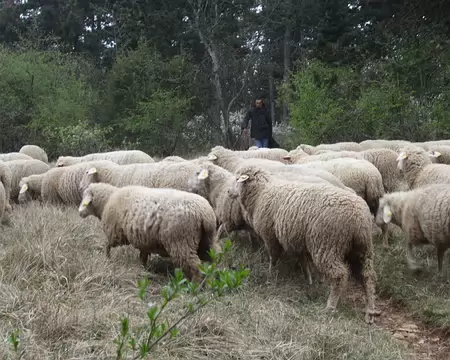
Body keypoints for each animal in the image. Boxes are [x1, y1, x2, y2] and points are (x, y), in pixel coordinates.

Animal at [80, 183, 222, 282]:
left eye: (86, 201)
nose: (80, 212)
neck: (108, 200)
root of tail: (204, 213)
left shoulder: (115, 233)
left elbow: (107, 245)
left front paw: (107, 258)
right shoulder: (144, 240)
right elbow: (142, 256)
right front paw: (144, 269)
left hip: (181, 241)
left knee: (195, 265)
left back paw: (195, 285)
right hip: (207, 240)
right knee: (214, 258)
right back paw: (212, 279)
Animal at [229, 163, 380, 324]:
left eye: (237, 179)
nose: (228, 192)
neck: (261, 192)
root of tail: (358, 218)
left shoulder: (270, 235)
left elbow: (273, 257)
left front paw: (270, 273)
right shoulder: (297, 241)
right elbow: (303, 261)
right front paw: (309, 280)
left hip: (327, 244)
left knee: (339, 276)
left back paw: (330, 306)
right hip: (362, 248)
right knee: (368, 276)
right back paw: (370, 310)